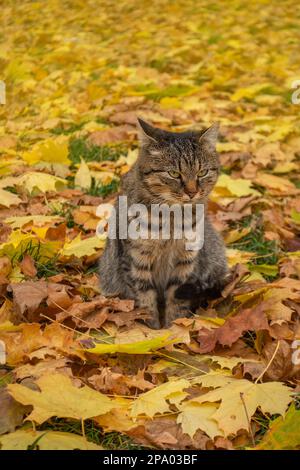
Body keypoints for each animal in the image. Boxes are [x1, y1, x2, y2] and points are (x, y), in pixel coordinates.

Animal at [98, 119, 227, 328]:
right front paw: (153, 330)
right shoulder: (136, 260)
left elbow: (177, 300)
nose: (192, 192)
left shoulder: (185, 261)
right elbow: (145, 301)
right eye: (174, 173)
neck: (172, 218)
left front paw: (175, 327)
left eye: (202, 172)